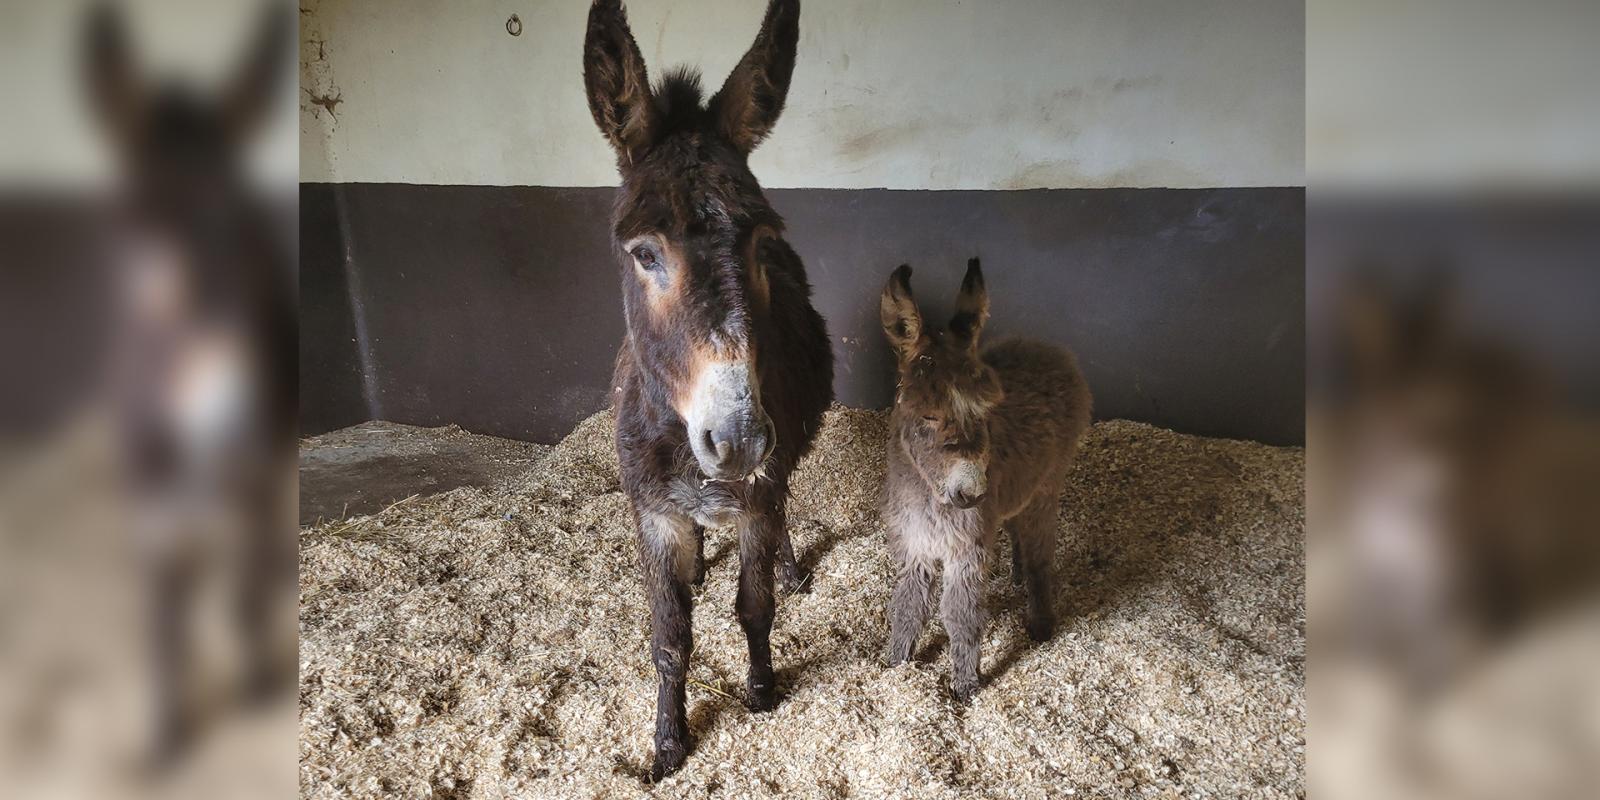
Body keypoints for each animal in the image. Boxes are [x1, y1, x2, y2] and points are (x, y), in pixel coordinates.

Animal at [883, 260, 1094, 700]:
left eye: (987, 411)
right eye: (929, 416)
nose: (972, 492)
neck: (930, 497)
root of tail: (1049, 348)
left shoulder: (967, 548)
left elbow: (959, 614)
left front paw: (964, 687)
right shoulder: (914, 543)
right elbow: (908, 606)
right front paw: (895, 665)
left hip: (1046, 488)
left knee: (1040, 554)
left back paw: (1040, 623)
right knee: (1017, 531)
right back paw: (1016, 573)